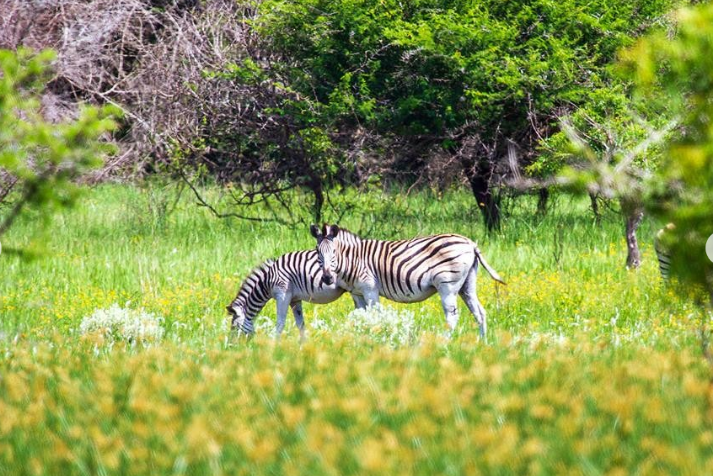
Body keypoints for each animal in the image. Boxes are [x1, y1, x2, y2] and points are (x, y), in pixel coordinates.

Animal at [225, 249, 364, 338]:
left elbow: (280, 323)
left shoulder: (282, 294)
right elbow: (300, 324)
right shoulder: (294, 299)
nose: (232, 347)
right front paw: (303, 348)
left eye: (234, 327)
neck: (267, 281)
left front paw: (274, 347)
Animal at [308, 224, 504, 338]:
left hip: (447, 285)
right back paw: (482, 343)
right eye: (317, 251)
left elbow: (376, 315)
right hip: (467, 284)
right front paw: (362, 338)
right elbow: (362, 316)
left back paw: (443, 344)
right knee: (480, 313)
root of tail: (471, 243)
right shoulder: (356, 293)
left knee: (452, 317)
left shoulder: (370, 288)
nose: (327, 278)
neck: (353, 259)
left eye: (333, 252)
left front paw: (379, 338)